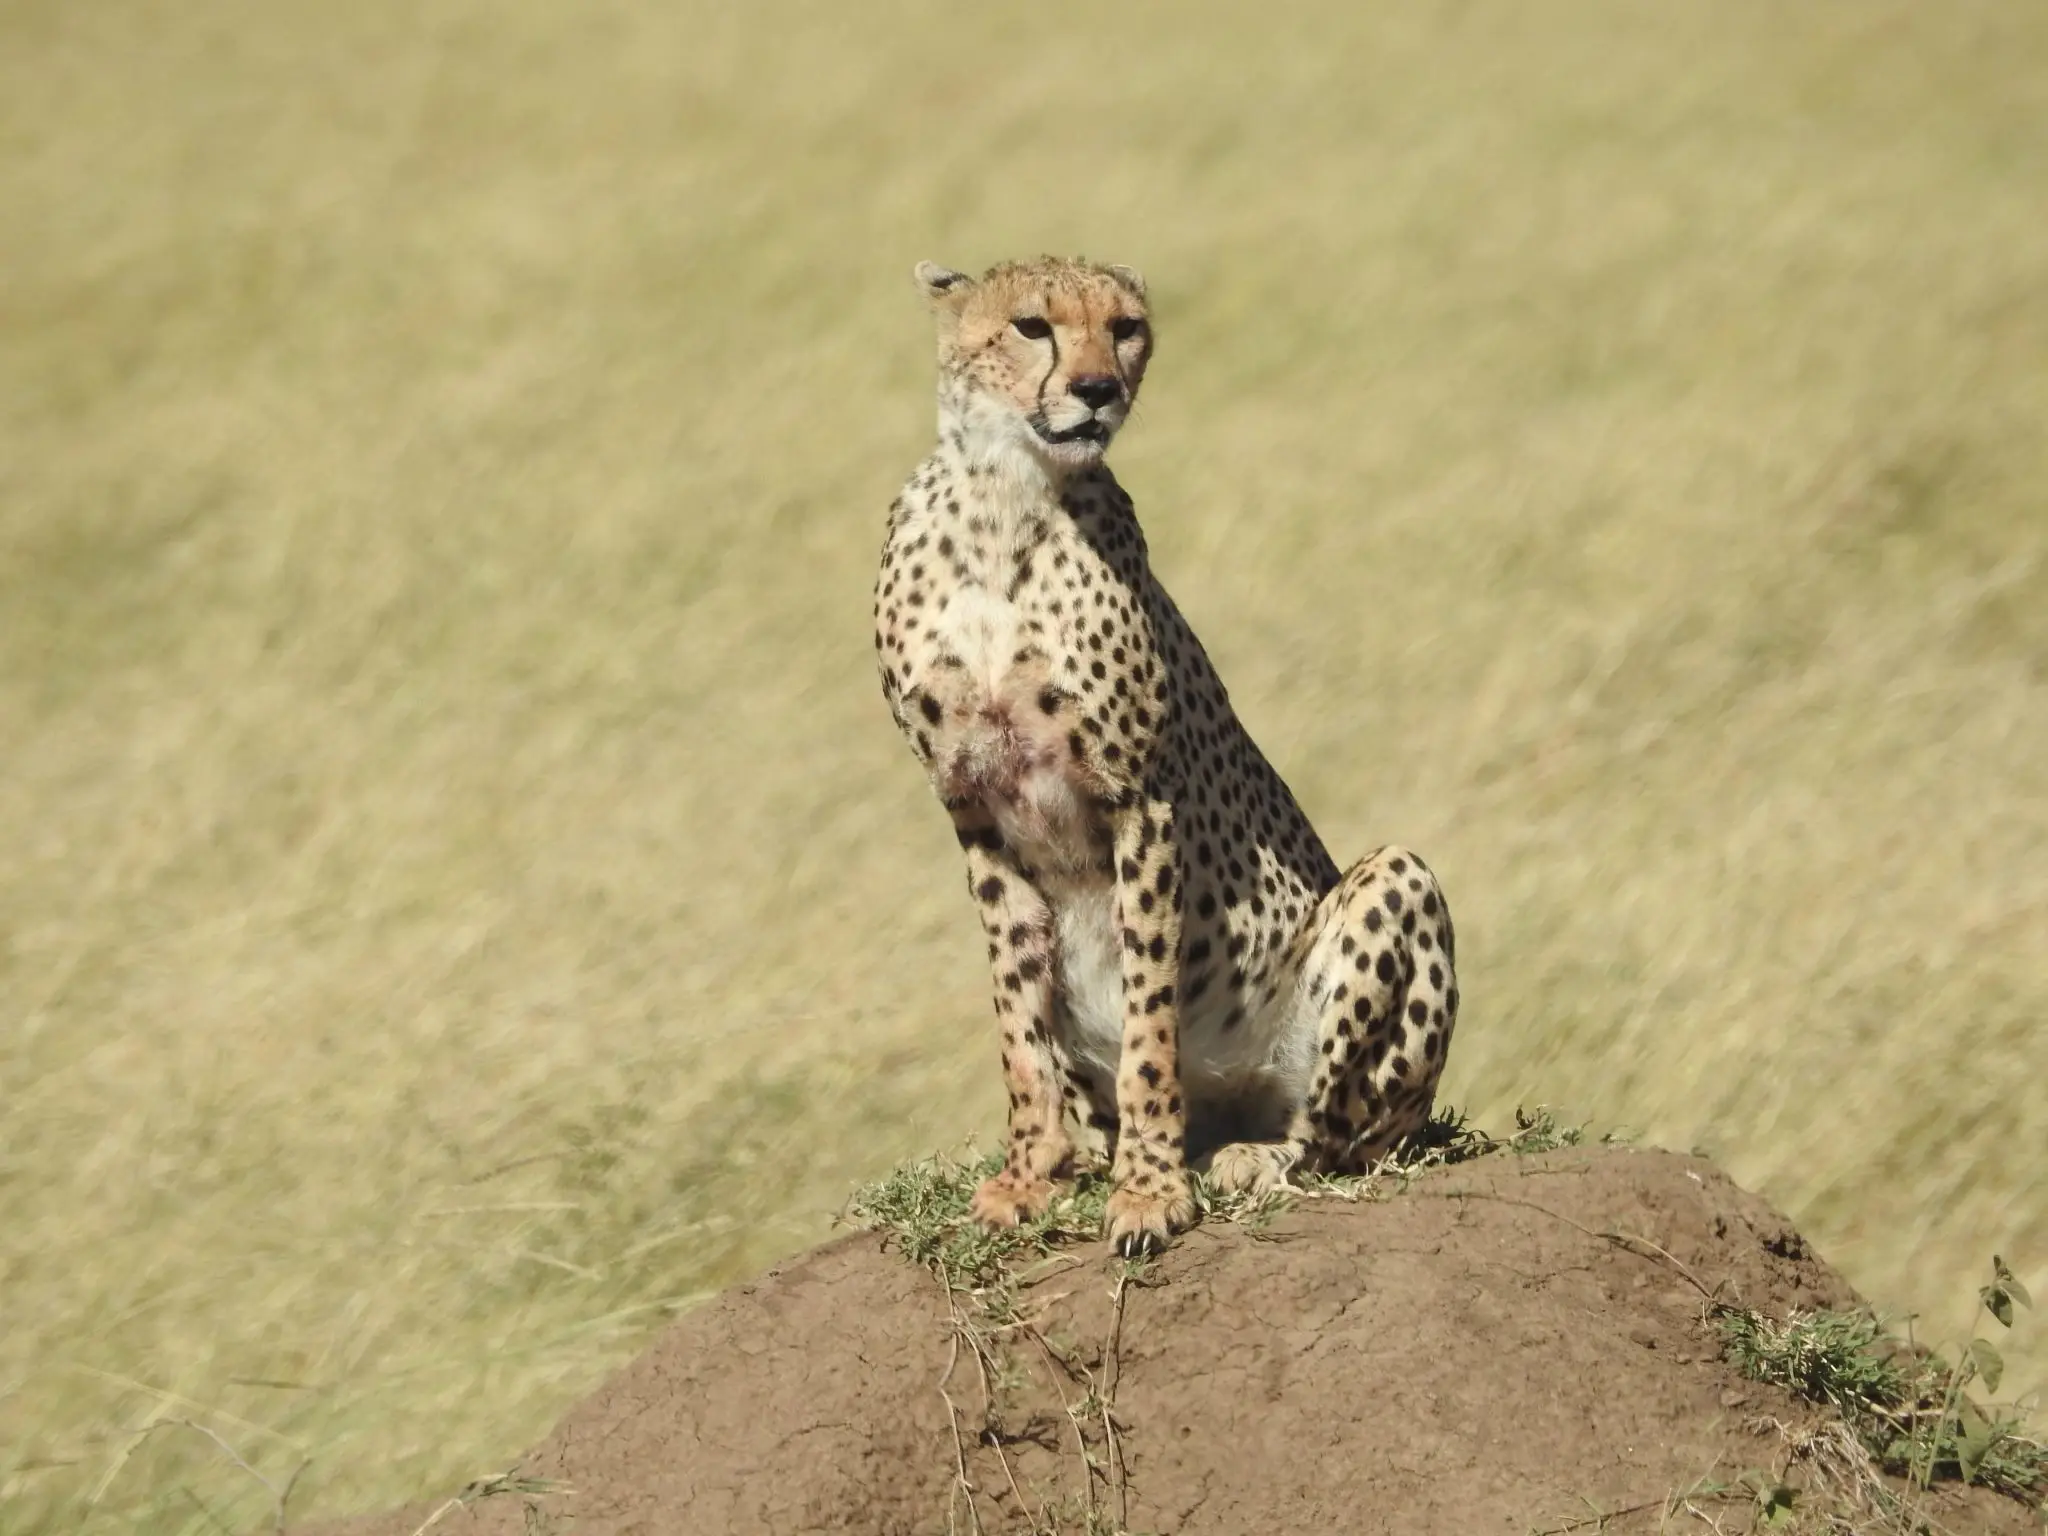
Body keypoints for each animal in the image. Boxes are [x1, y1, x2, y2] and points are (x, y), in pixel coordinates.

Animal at [873, 255, 1459, 1256]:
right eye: (1031, 326)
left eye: (1128, 328)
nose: (1097, 390)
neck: (1003, 506)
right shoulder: (975, 809)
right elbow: (1016, 1015)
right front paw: (1030, 1176)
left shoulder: (1140, 798)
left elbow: (1150, 1014)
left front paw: (1148, 1190)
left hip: (1395, 886)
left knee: (1344, 1139)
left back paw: (1248, 1159)